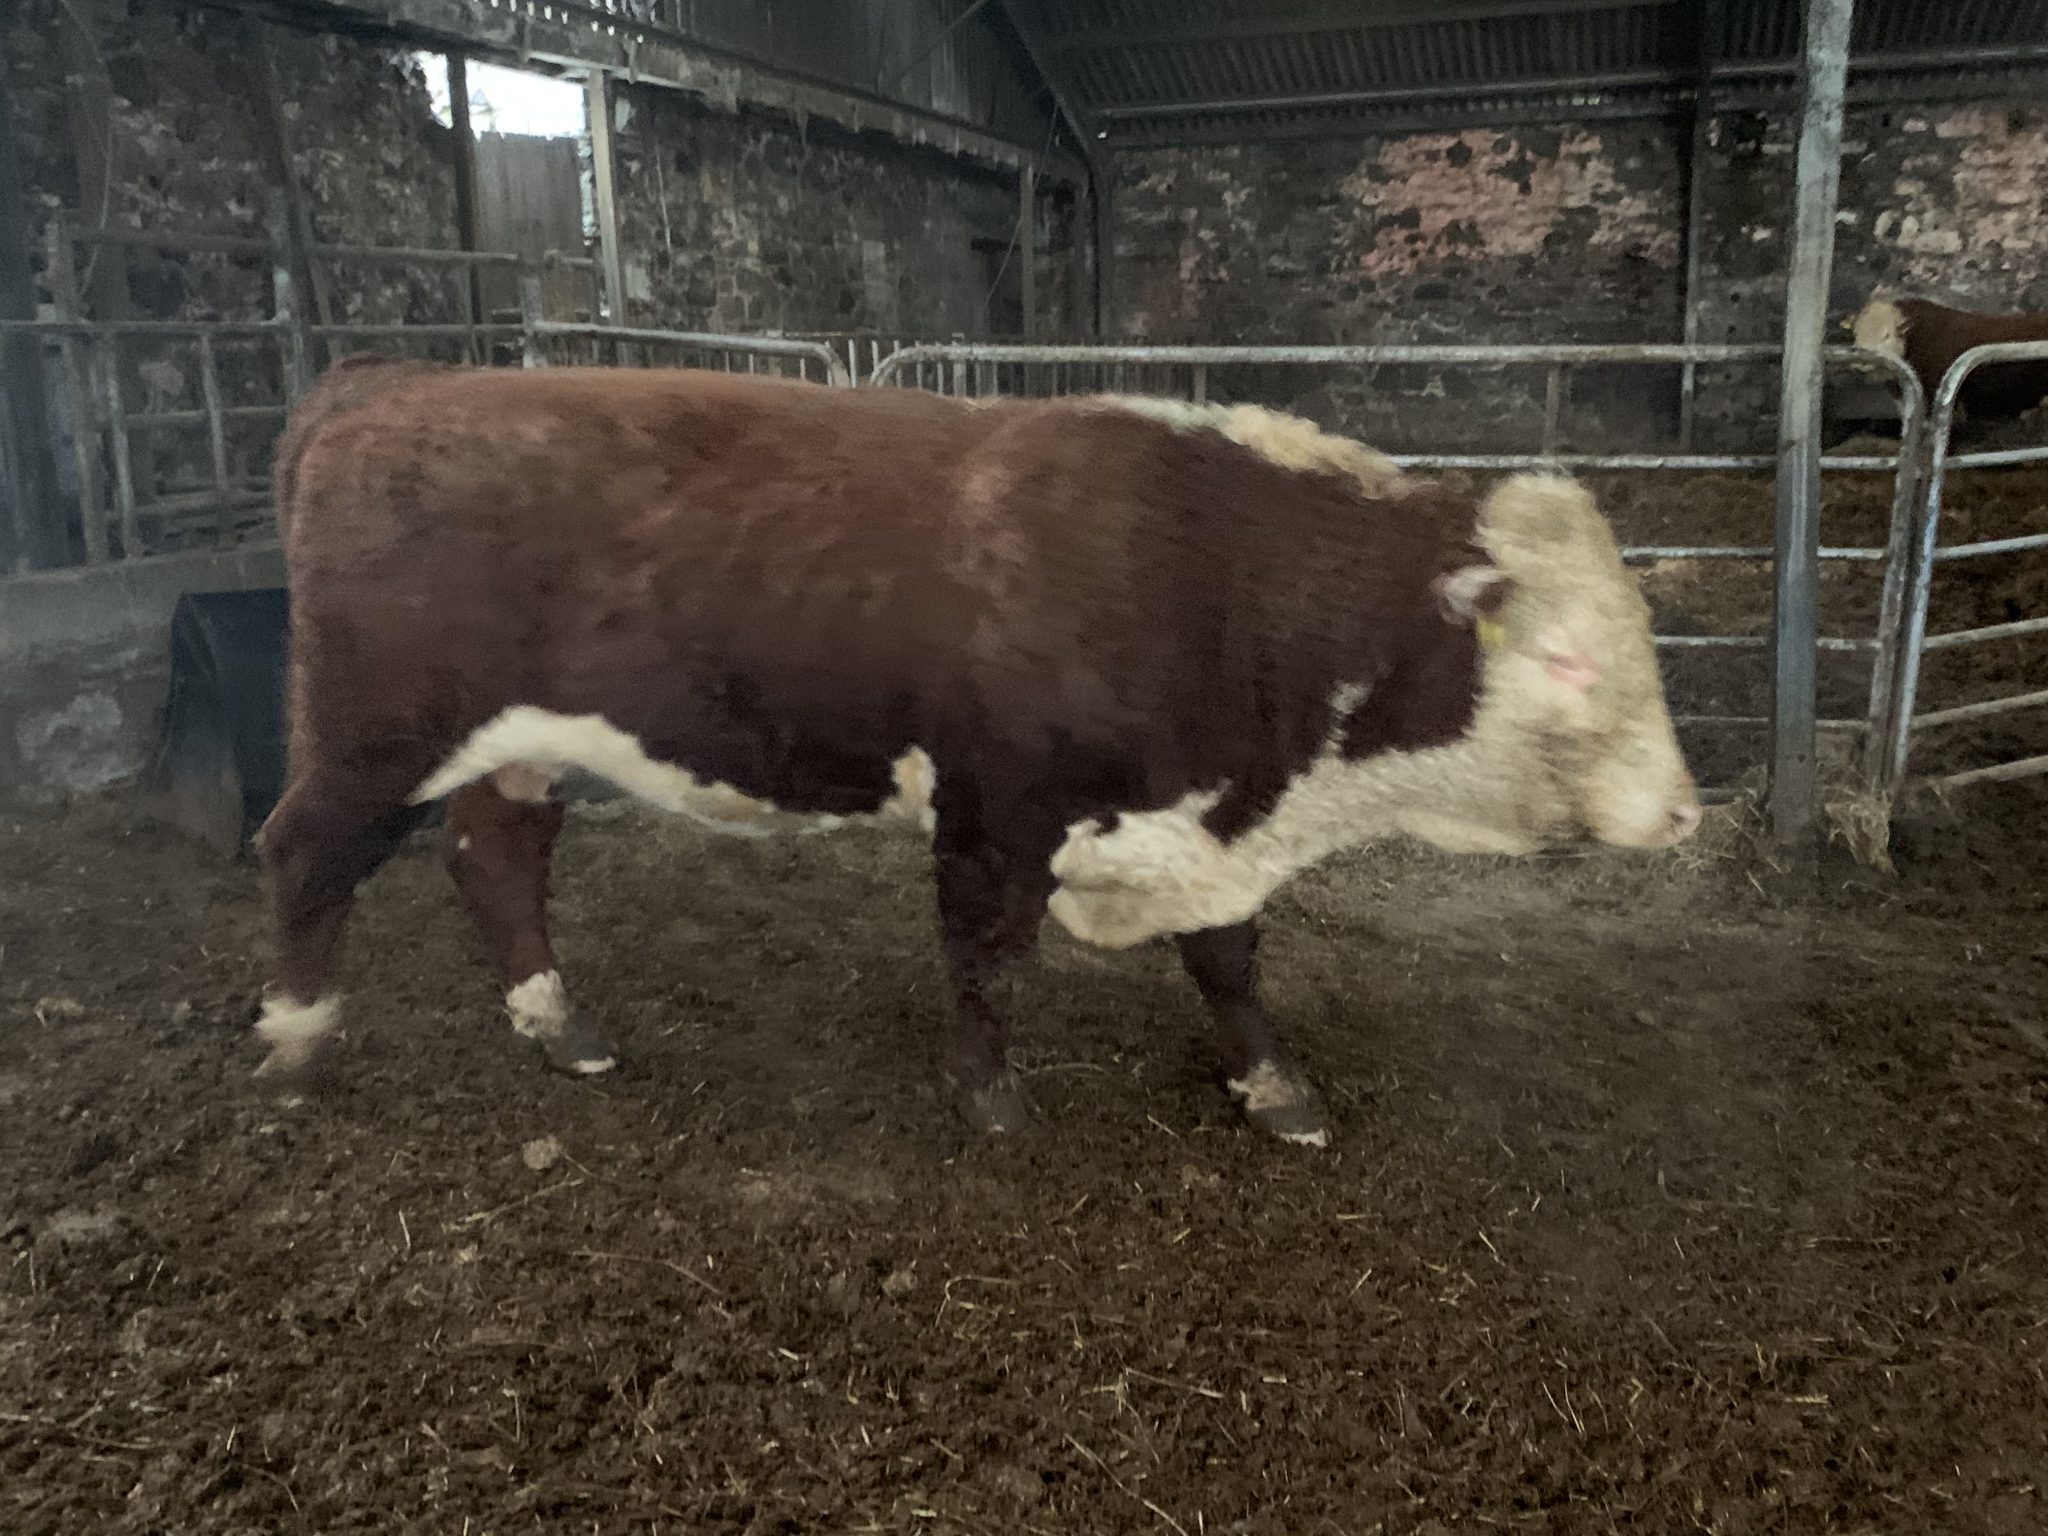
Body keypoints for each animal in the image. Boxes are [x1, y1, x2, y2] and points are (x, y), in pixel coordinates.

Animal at [253, 362, 1700, 1146]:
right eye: (1566, 664)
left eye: (1641, 645)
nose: (1686, 814)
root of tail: (395, 382)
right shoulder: (997, 801)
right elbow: (990, 958)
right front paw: (989, 1097)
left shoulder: (1200, 826)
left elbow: (1228, 962)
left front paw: (1272, 1083)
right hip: (375, 729)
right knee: (304, 848)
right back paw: (299, 1037)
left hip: (517, 743)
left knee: (497, 854)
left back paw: (560, 1025)